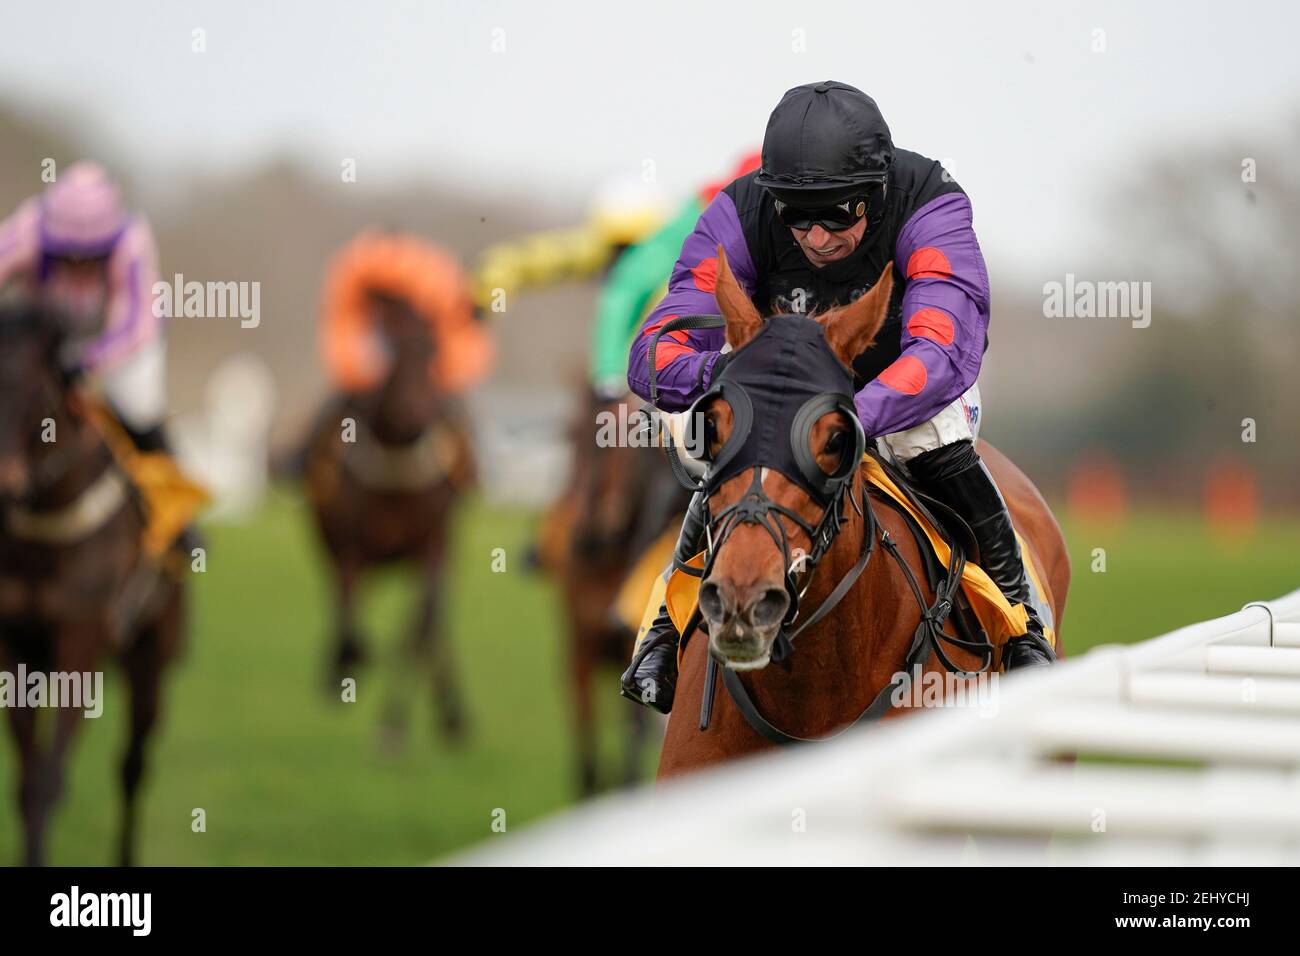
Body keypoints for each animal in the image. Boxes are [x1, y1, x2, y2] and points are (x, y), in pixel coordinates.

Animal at [304, 291, 478, 749]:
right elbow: (350, 617)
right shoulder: (350, 547)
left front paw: (394, 725)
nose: (420, 416)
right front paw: (349, 661)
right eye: (394, 349)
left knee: (432, 625)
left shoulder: (431, 544)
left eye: (434, 350)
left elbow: (417, 630)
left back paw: (452, 712)